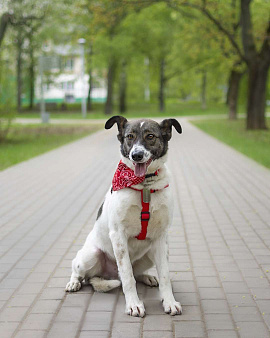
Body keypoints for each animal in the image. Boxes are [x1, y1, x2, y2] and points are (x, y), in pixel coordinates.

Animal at [66, 116, 182, 316]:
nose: (136, 155)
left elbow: (165, 275)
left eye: (150, 136)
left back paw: (148, 277)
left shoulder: (161, 238)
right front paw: (134, 304)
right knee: (80, 270)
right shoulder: (118, 236)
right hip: (90, 256)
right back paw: (74, 282)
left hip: (149, 253)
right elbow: (127, 276)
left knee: (136, 273)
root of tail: (109, 275)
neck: (144, 187)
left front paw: (169, 302)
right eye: (130, 137)